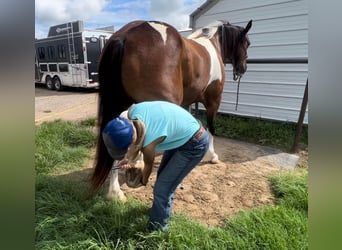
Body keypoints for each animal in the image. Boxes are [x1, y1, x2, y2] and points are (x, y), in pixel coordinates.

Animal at [90, 19, 251, 196]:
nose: (243, 68)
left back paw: (116, 191)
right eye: (247, 43)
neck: (212, 43)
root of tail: (125, 35)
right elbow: (211, 129)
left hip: (120, 106)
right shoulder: (213, 101)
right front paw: (212, 156)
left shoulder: (186, 104)